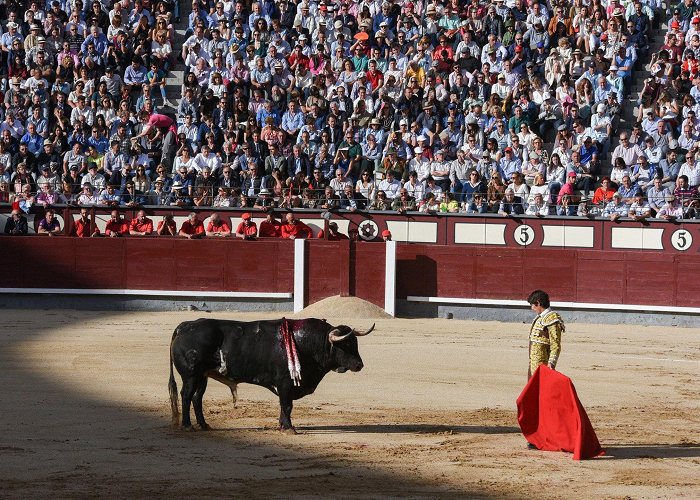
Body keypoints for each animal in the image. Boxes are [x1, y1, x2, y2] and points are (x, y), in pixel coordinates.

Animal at [167, 320, 374, 430]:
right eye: (345, 345)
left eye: (355, 343)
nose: (359, 365)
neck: (309, 343)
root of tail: (185, 326)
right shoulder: (285, 382)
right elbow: (287, 405)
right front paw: (289, 428)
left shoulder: (285, 386)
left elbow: (284, 405)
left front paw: (282, 425)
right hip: (191, 375)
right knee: (186, 395)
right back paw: (187, 425)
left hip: (203, 375)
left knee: (197, 397)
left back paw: (204, 425)